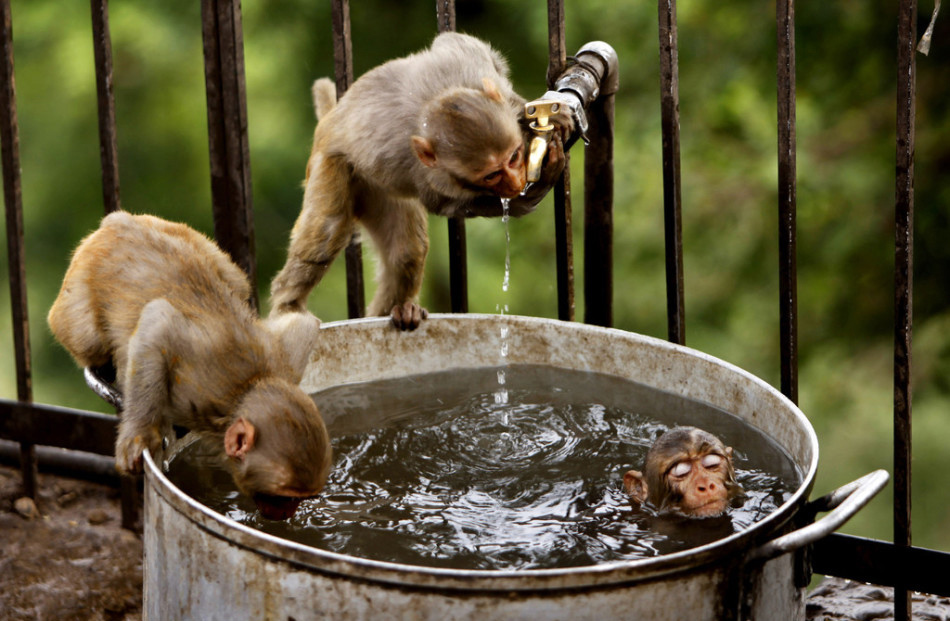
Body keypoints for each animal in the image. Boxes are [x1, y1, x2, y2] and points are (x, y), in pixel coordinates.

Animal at [52, 212, 336, 520]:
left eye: (302, 497)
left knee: (237, 282)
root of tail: (119, 222)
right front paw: (138, 435)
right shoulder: (197, 386)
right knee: (89, 339)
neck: (245, 390)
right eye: (285, 496)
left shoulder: (284, 363)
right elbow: (158, 321)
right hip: (78, 291)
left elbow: (304, 323)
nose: (286, 513)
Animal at [268, 30, 572, 330]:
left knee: (406, 252)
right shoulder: (430, 176)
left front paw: (533, 115)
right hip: (332, 164)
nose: (515, 183)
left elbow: (456, 42)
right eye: (491, 175)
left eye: (514, 156)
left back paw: (399, 310)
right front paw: (530, 194)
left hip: (375, 190)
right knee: (328, 230)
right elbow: (444, 204)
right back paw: (288, 307)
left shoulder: (470, 64)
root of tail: (329, 120)